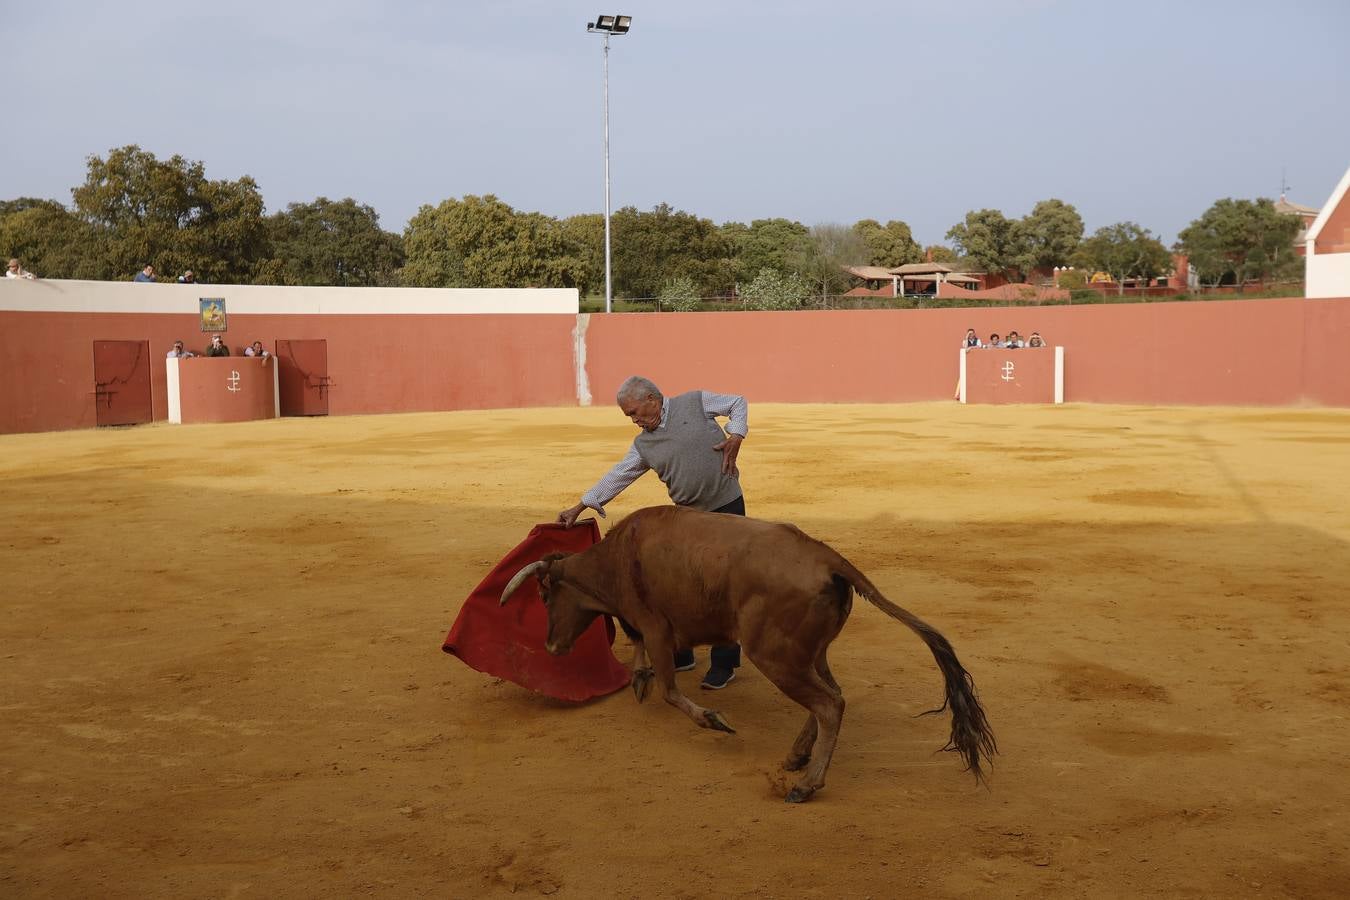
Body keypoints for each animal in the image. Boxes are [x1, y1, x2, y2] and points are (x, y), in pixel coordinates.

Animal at [502, 507, 999, 804]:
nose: (552, 647)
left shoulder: (658, 627)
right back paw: (798, 757)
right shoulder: (646, 625)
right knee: (831, 695)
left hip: (774, 655)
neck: (618, 555)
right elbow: (643, 656)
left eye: (544, 595)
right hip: (808, 652)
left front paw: (713, 720)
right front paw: (640, 677)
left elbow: (669, 690)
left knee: (829, 703)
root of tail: (828, 559)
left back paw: (805, 784)